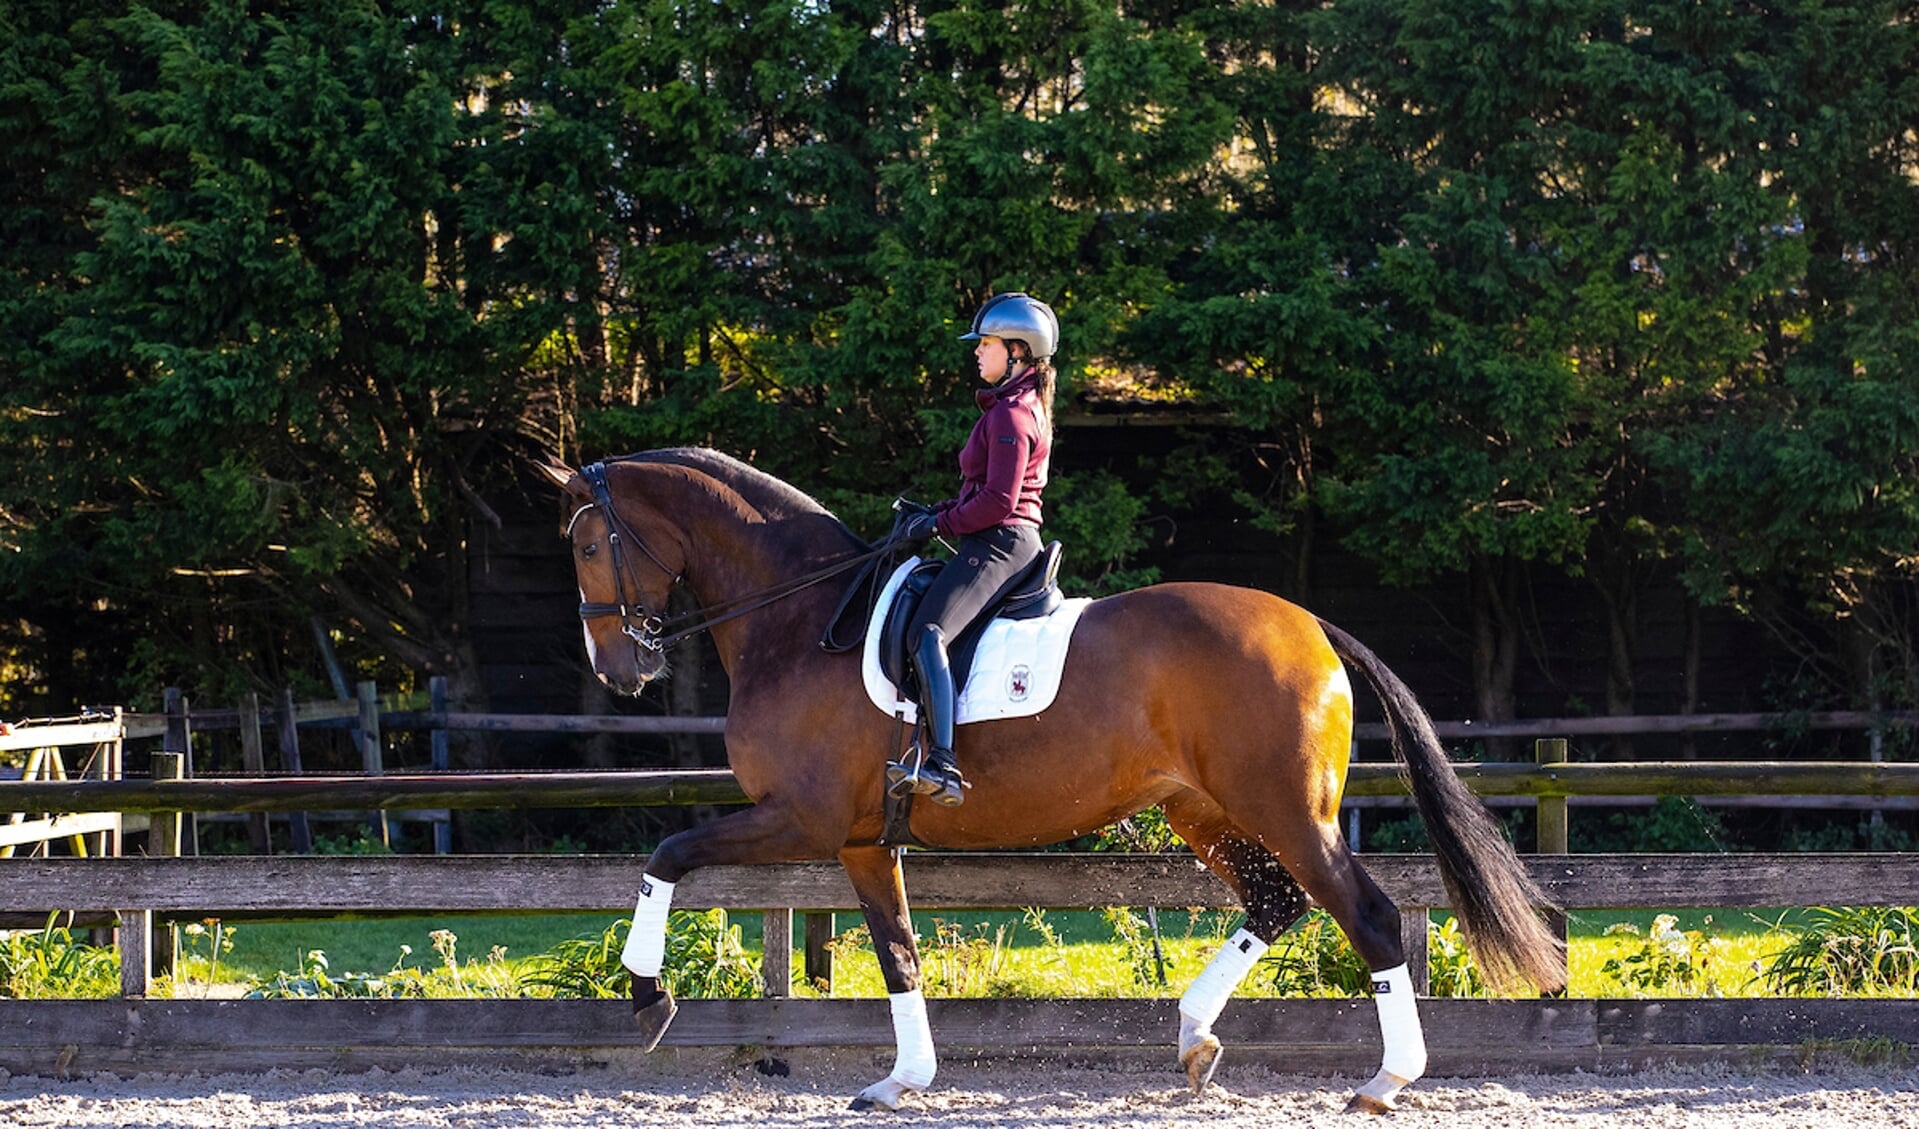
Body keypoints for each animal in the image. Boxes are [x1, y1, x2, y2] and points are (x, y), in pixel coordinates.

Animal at [541, 447, 1558, 1113]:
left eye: (588, 546)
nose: (616, 671)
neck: (800, 617)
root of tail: (1309, 625)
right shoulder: (861, 838)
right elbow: (898, 951)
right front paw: (901, 1079)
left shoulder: (800, 816)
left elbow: (668, 852)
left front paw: (648, 998)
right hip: (1203, 808)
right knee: (1276, 902)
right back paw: (1194, 1039)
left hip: (1284, 808)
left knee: (1366, 915)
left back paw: (1384, 1079)